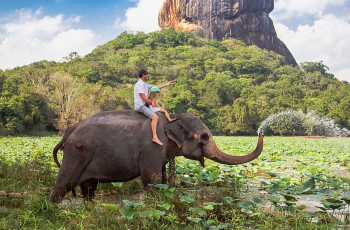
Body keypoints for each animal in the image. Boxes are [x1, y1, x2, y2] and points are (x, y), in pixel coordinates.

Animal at [50, 109, 262, 203]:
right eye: (204, 137)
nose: (261, 132)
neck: (173, 118)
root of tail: (67, 133)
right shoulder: (152, 147)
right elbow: (151, 178)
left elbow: (161, 178)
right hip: (75, 153)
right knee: (63, 184)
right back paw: (53, 208)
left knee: (88, 188)